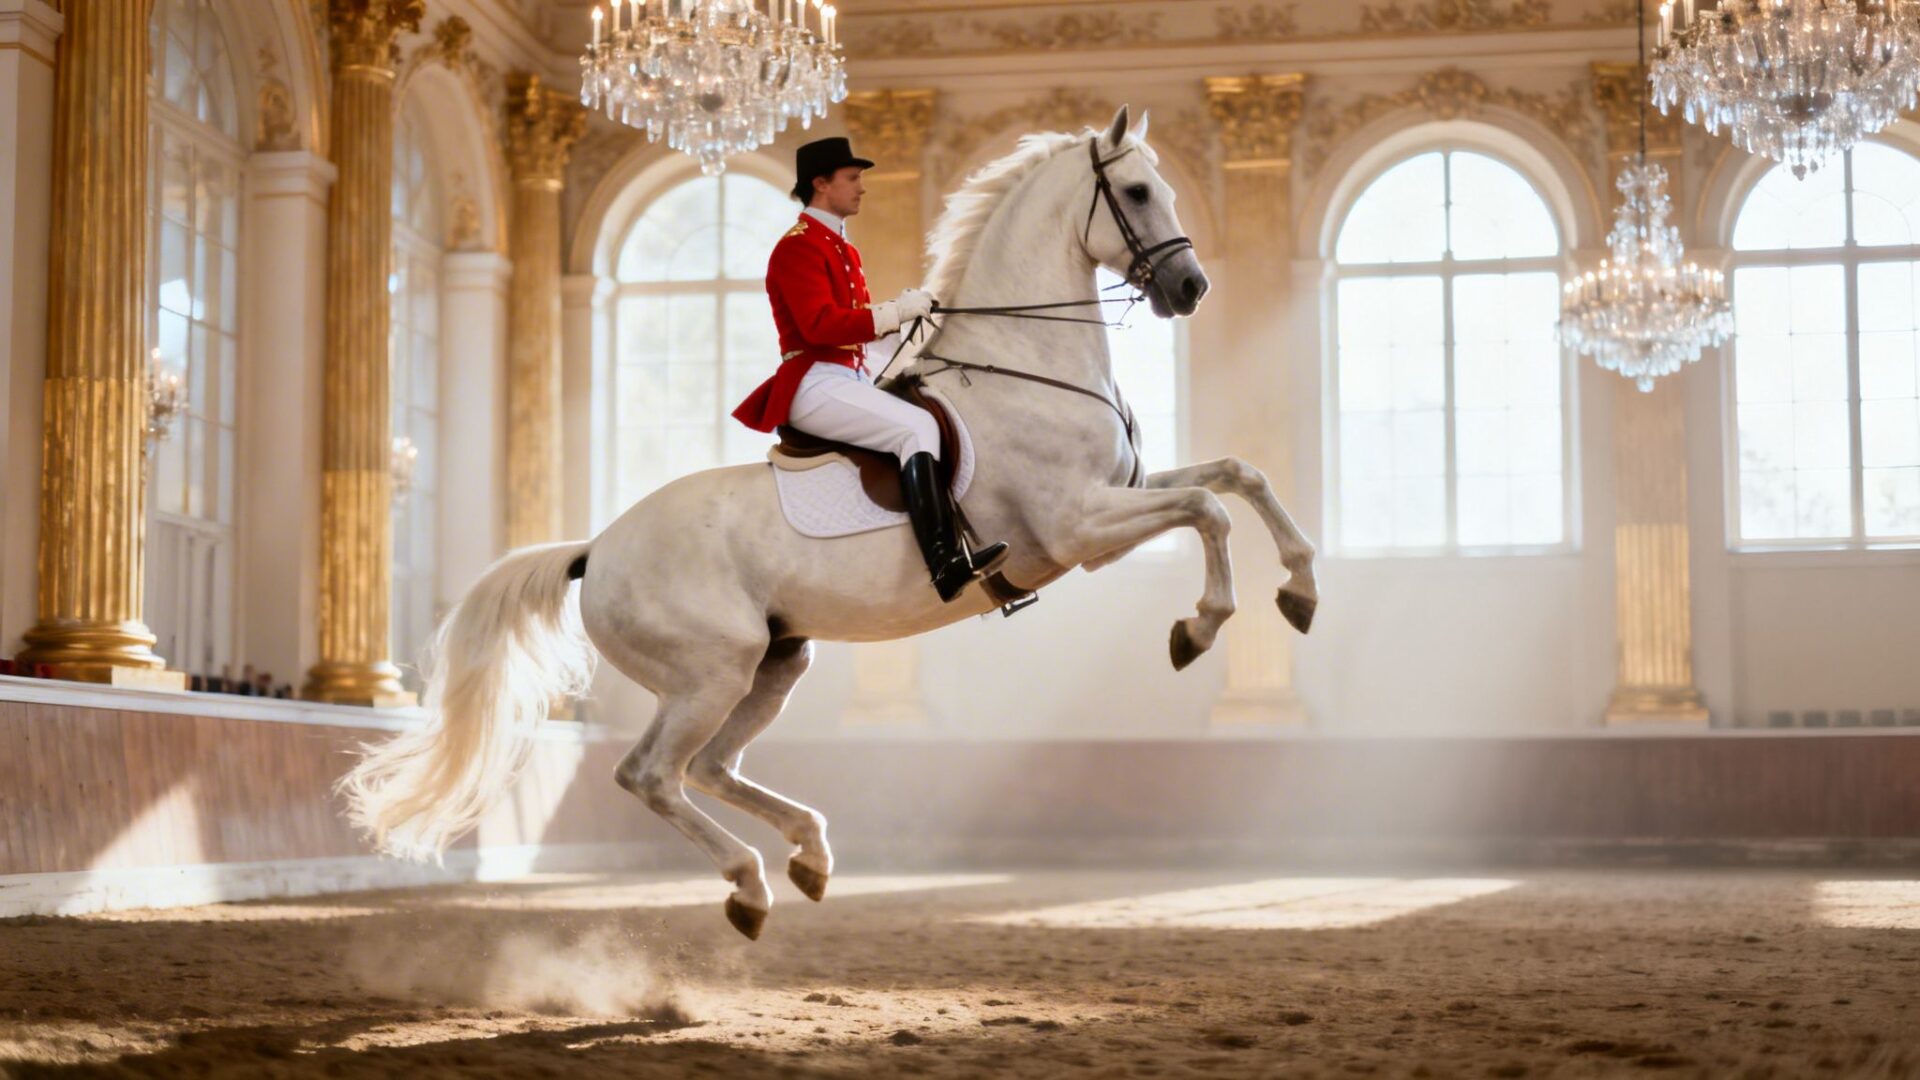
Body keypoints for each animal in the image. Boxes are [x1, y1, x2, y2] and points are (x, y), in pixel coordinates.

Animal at [340, 106, 1319, 940]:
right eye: (1142, 192)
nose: (1191, 287)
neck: (1025, 363)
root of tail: (597, 548)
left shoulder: (1115, 503)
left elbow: (1238, 477)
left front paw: (1301, 591)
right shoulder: (1080, 530)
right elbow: (1208, 511)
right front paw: (1200, 627)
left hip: (775, 661)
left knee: (710, 768)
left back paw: (806, 856)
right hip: (710, 669)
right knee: (651, 773)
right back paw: (748, 885)